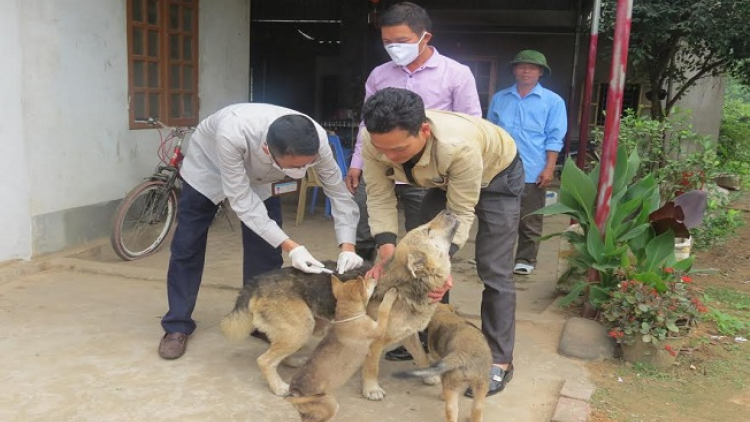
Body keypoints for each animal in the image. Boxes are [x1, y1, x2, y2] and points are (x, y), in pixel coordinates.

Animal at [220, 211, 462, 398]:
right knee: (265, 360)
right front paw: (371, 389)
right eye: (427, 230)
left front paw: (429, 375)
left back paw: (292, 361)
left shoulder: (409, 334)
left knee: (277, 351)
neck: (406, 287)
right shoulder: (375, 342)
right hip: (302, 327)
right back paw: (278, 386)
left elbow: (421, 356)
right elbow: (372, 368)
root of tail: (257, 281)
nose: (449, 210)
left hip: (305, 328)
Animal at [284, 276, 400, 422]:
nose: (373, 277)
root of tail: (295, 394)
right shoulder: (378, 327)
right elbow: (384, 309)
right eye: (366, 283)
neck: (348, 317)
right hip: (330, 404)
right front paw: (390, 294)